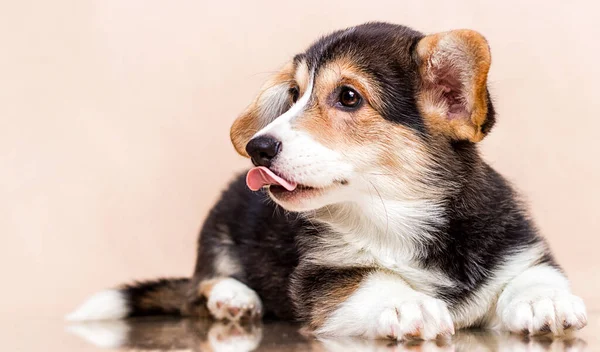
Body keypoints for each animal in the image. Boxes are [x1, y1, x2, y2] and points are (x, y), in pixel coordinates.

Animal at [68, 22, 588, 340]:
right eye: (294, 94)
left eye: (349, 97)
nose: (257, 148)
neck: (399, 214)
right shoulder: (326, 276)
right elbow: (370, 279)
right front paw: (409, 305)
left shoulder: (520, 248)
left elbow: (532, 276)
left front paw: (545, 303)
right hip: (216, 236)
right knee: (199, 287)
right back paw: (235, 298)